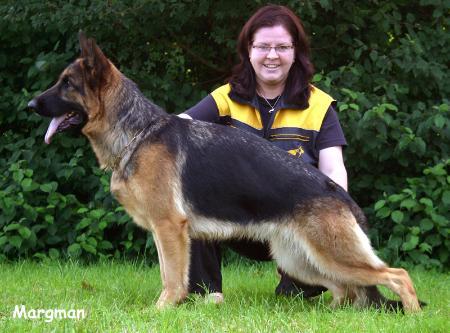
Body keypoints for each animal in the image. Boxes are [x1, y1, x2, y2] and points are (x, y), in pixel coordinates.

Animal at [28, 33, 422, 312]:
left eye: (66, 83)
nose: (30, 104)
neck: (137, 132)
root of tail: (336, 192)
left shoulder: (170, 227)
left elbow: (172, 277)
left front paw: (160, 311)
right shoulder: (165, 231)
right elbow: (168, 272)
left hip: (331, 255)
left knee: (398, 275)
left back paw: (413, 314)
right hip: (301, 260)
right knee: (344, 287)